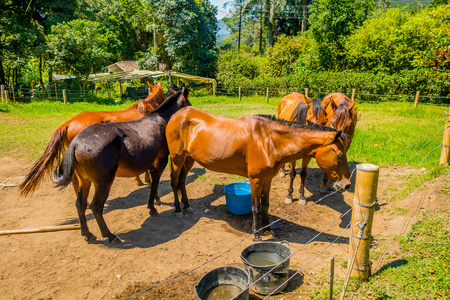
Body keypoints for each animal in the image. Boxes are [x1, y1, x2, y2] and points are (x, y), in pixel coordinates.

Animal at [52, 89, 190, 244]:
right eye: (188, 104)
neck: (159, 118)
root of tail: (76, 143)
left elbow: (152, 183)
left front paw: (155, 200)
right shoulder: (161, 161)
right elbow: (155, 183)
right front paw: (152, 207)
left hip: (85, 181)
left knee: (80, 204)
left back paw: (87, 233)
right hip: (103, 183)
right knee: (96, 207)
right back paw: (109, 235)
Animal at [165, 106, 352, 240]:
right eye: (339, 154)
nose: (347, 184)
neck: (269, 140)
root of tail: (176, 115)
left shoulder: (267, 179)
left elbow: (265, 205)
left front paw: (268, 229)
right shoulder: (255, 180)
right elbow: (255, 207)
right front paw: (256, 233)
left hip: (189, 159)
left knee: (181, 181)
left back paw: (187, 206)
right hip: (177, 158)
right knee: (174, 181)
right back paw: (178, 208)